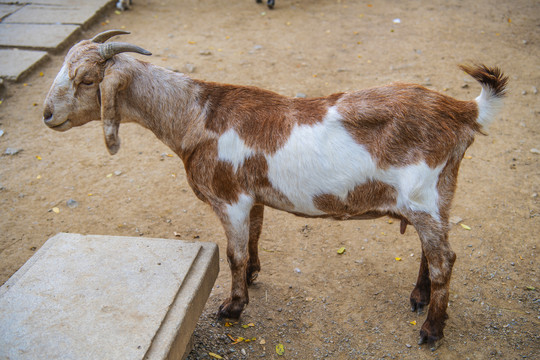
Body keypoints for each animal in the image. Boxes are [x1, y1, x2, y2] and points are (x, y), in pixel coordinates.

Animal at [41, 31, 506, 346]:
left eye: (87, 80)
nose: (46, 114)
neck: (194, 114)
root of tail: (463, 111)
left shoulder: (228, 198)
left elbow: (233, 253)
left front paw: (232, 306)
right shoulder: (253, 197)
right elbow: (255, 237)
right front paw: (253, 275)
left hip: (424, 198)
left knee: (444, 259)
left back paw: (431, 329)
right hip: (437, 197)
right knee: (433, 252)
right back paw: (419, 296)